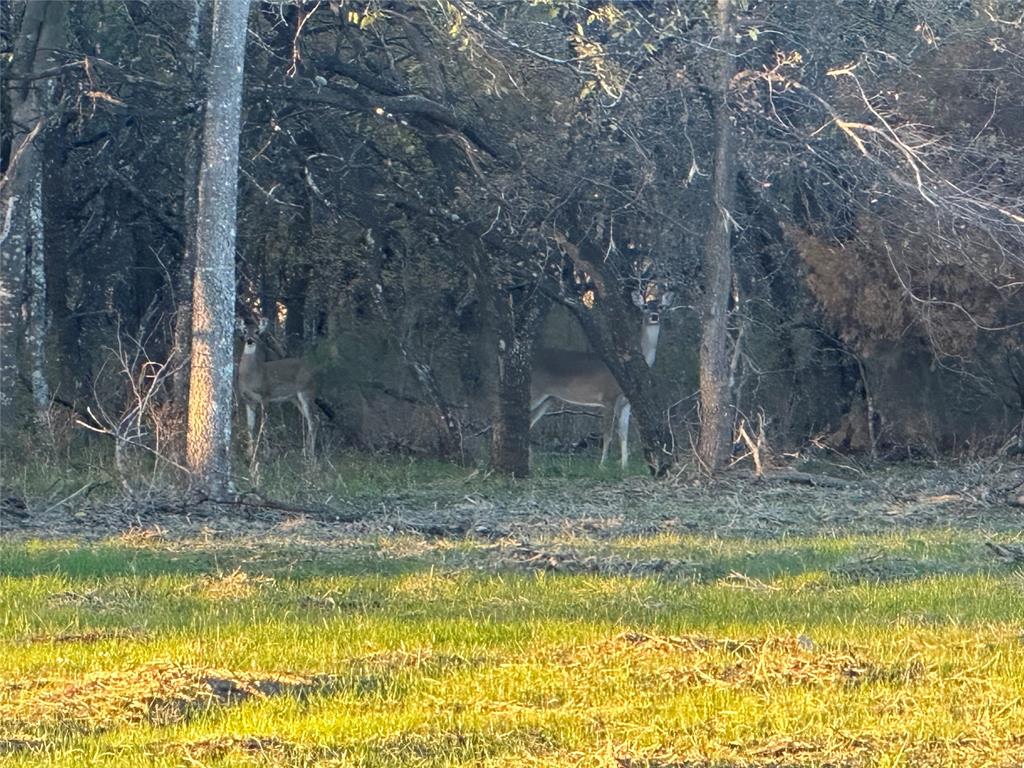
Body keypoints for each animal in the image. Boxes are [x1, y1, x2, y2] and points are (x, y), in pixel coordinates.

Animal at [237, 317, 317, 460]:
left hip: (306, 391)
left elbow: (264, 425)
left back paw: (311, 455)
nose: (249, 340)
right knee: (311, 419)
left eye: (257, 331)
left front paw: (266, 453)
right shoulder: (247, 399)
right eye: (244, 331)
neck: (253, 376)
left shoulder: (265, 396)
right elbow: (250, 426)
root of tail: (311, 370)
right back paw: (305, 451)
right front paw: (249, 453)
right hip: (295, 398)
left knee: (313, 420)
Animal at [528, 290, 671, 466]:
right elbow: (608, 435)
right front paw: (602, 465)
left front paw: (624, 465)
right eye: (644, 306)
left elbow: (623, 433)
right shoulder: (608, 397)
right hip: (535, 391)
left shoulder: (627, 402)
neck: (624, 364)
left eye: (661, 306)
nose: (654, 316)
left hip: (548, 399)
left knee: (528, 422)